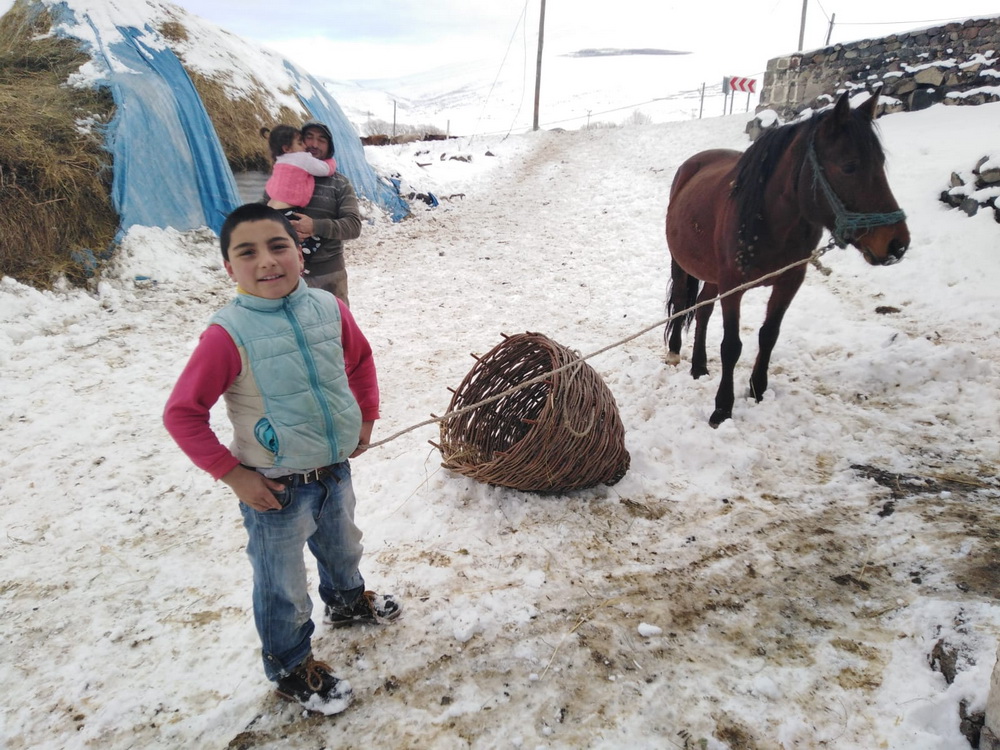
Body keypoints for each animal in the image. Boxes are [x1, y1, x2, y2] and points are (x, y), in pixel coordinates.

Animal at [668, 90, 912, 426]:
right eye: (849, 166)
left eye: (881, 163)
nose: (897, 244)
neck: (768, 217)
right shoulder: (733, 285)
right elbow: (731, 346)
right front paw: (722, 408)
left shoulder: (789, 281)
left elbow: (768, 335)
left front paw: (757, 389)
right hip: (683, 264)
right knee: (682, 303)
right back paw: (675, 353)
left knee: (703, 308)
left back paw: (699, 365)